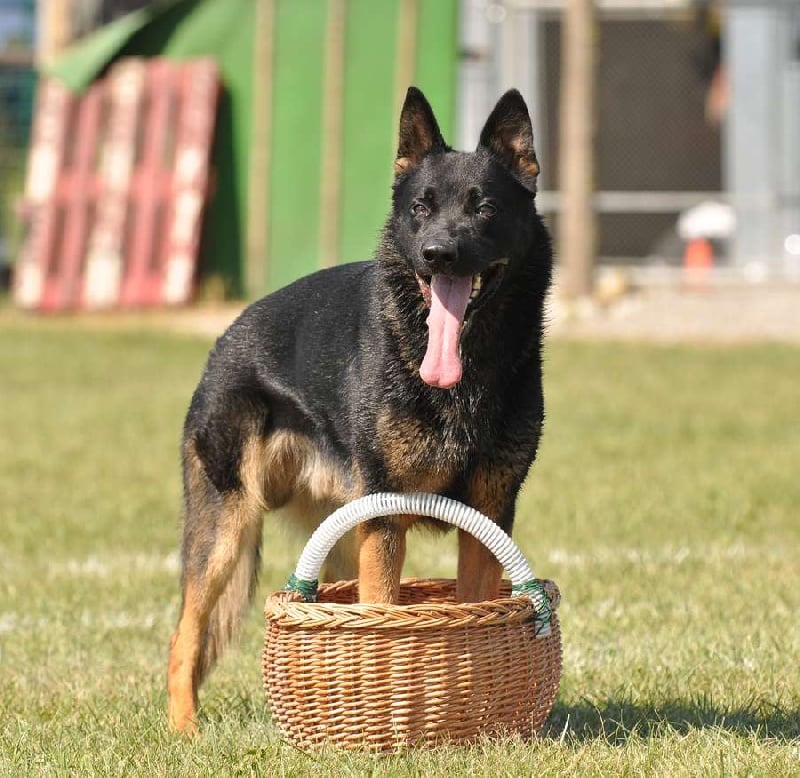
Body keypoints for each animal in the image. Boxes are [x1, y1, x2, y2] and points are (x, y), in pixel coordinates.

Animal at [167, 87, 552, 733]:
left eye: (484, 208)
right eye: (420, 208)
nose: (438, 254)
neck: (464, 369)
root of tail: (225, 339)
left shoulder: (488, 513)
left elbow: (472, 602)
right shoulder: (387, 522)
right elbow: (381, 613)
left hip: (344, 534)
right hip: (227, 535)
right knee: (183, 635)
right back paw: (185, 730)